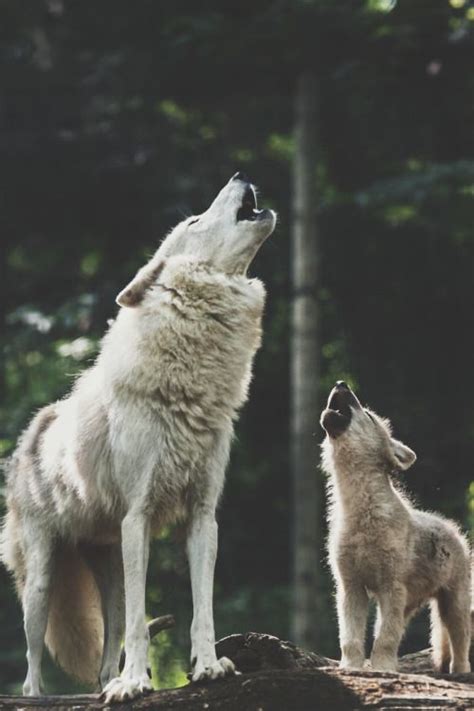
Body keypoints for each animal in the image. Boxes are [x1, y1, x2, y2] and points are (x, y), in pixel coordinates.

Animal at [0, 172, 278, 700]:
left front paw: (208, 666)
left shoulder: (203, 516)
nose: (239, 175)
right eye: (193, 220)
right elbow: (138, 620)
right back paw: (46, 694)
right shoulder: (139, 516)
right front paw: (135, 684)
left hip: (109, 565)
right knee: (32, 655)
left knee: (108, 641)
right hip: (43, 581)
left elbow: (202, 609)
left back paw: (109, 681)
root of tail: (34, 428)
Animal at [320, 382, 472, 676]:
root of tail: (452, 528)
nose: (341, 383)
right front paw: (351, 667)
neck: (362, 512)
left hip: (453, 605)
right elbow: (351, 638)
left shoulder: (391, 588)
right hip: (410, 605)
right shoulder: (351, 587)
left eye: (367, 414)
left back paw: (459, 672)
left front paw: (383, 669)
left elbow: (385, 638)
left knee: (460, 641)